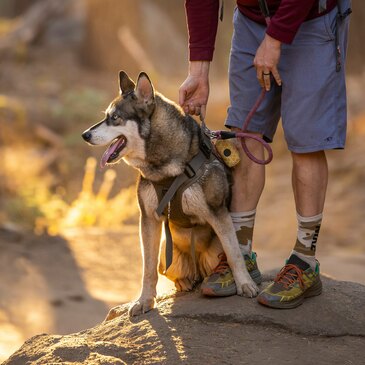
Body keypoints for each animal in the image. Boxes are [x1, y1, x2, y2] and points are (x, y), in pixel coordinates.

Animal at [82, 72, 258, 316]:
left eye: (115, 118)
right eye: (107, 116)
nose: (85, 135)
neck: (167, 170)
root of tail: (197, 270)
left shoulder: (218, 212)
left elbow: (234, 254)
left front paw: (244, 284)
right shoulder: (148, 219)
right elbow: (147, 268)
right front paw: (144, 301)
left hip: (214, 252)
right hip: (167, 255)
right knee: (170, 272)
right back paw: (184, 282)